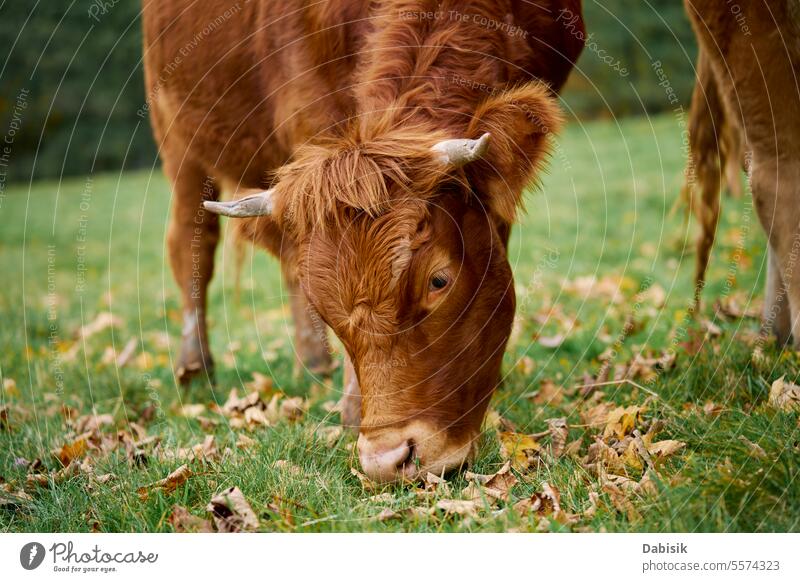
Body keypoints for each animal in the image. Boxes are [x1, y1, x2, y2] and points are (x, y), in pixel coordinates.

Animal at [142, 0, 580, 484]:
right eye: (327, 306)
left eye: (438, 281)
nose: (387, 461)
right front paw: (353, 411)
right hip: (177, 137)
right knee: (192, 247)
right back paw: (195, 369)